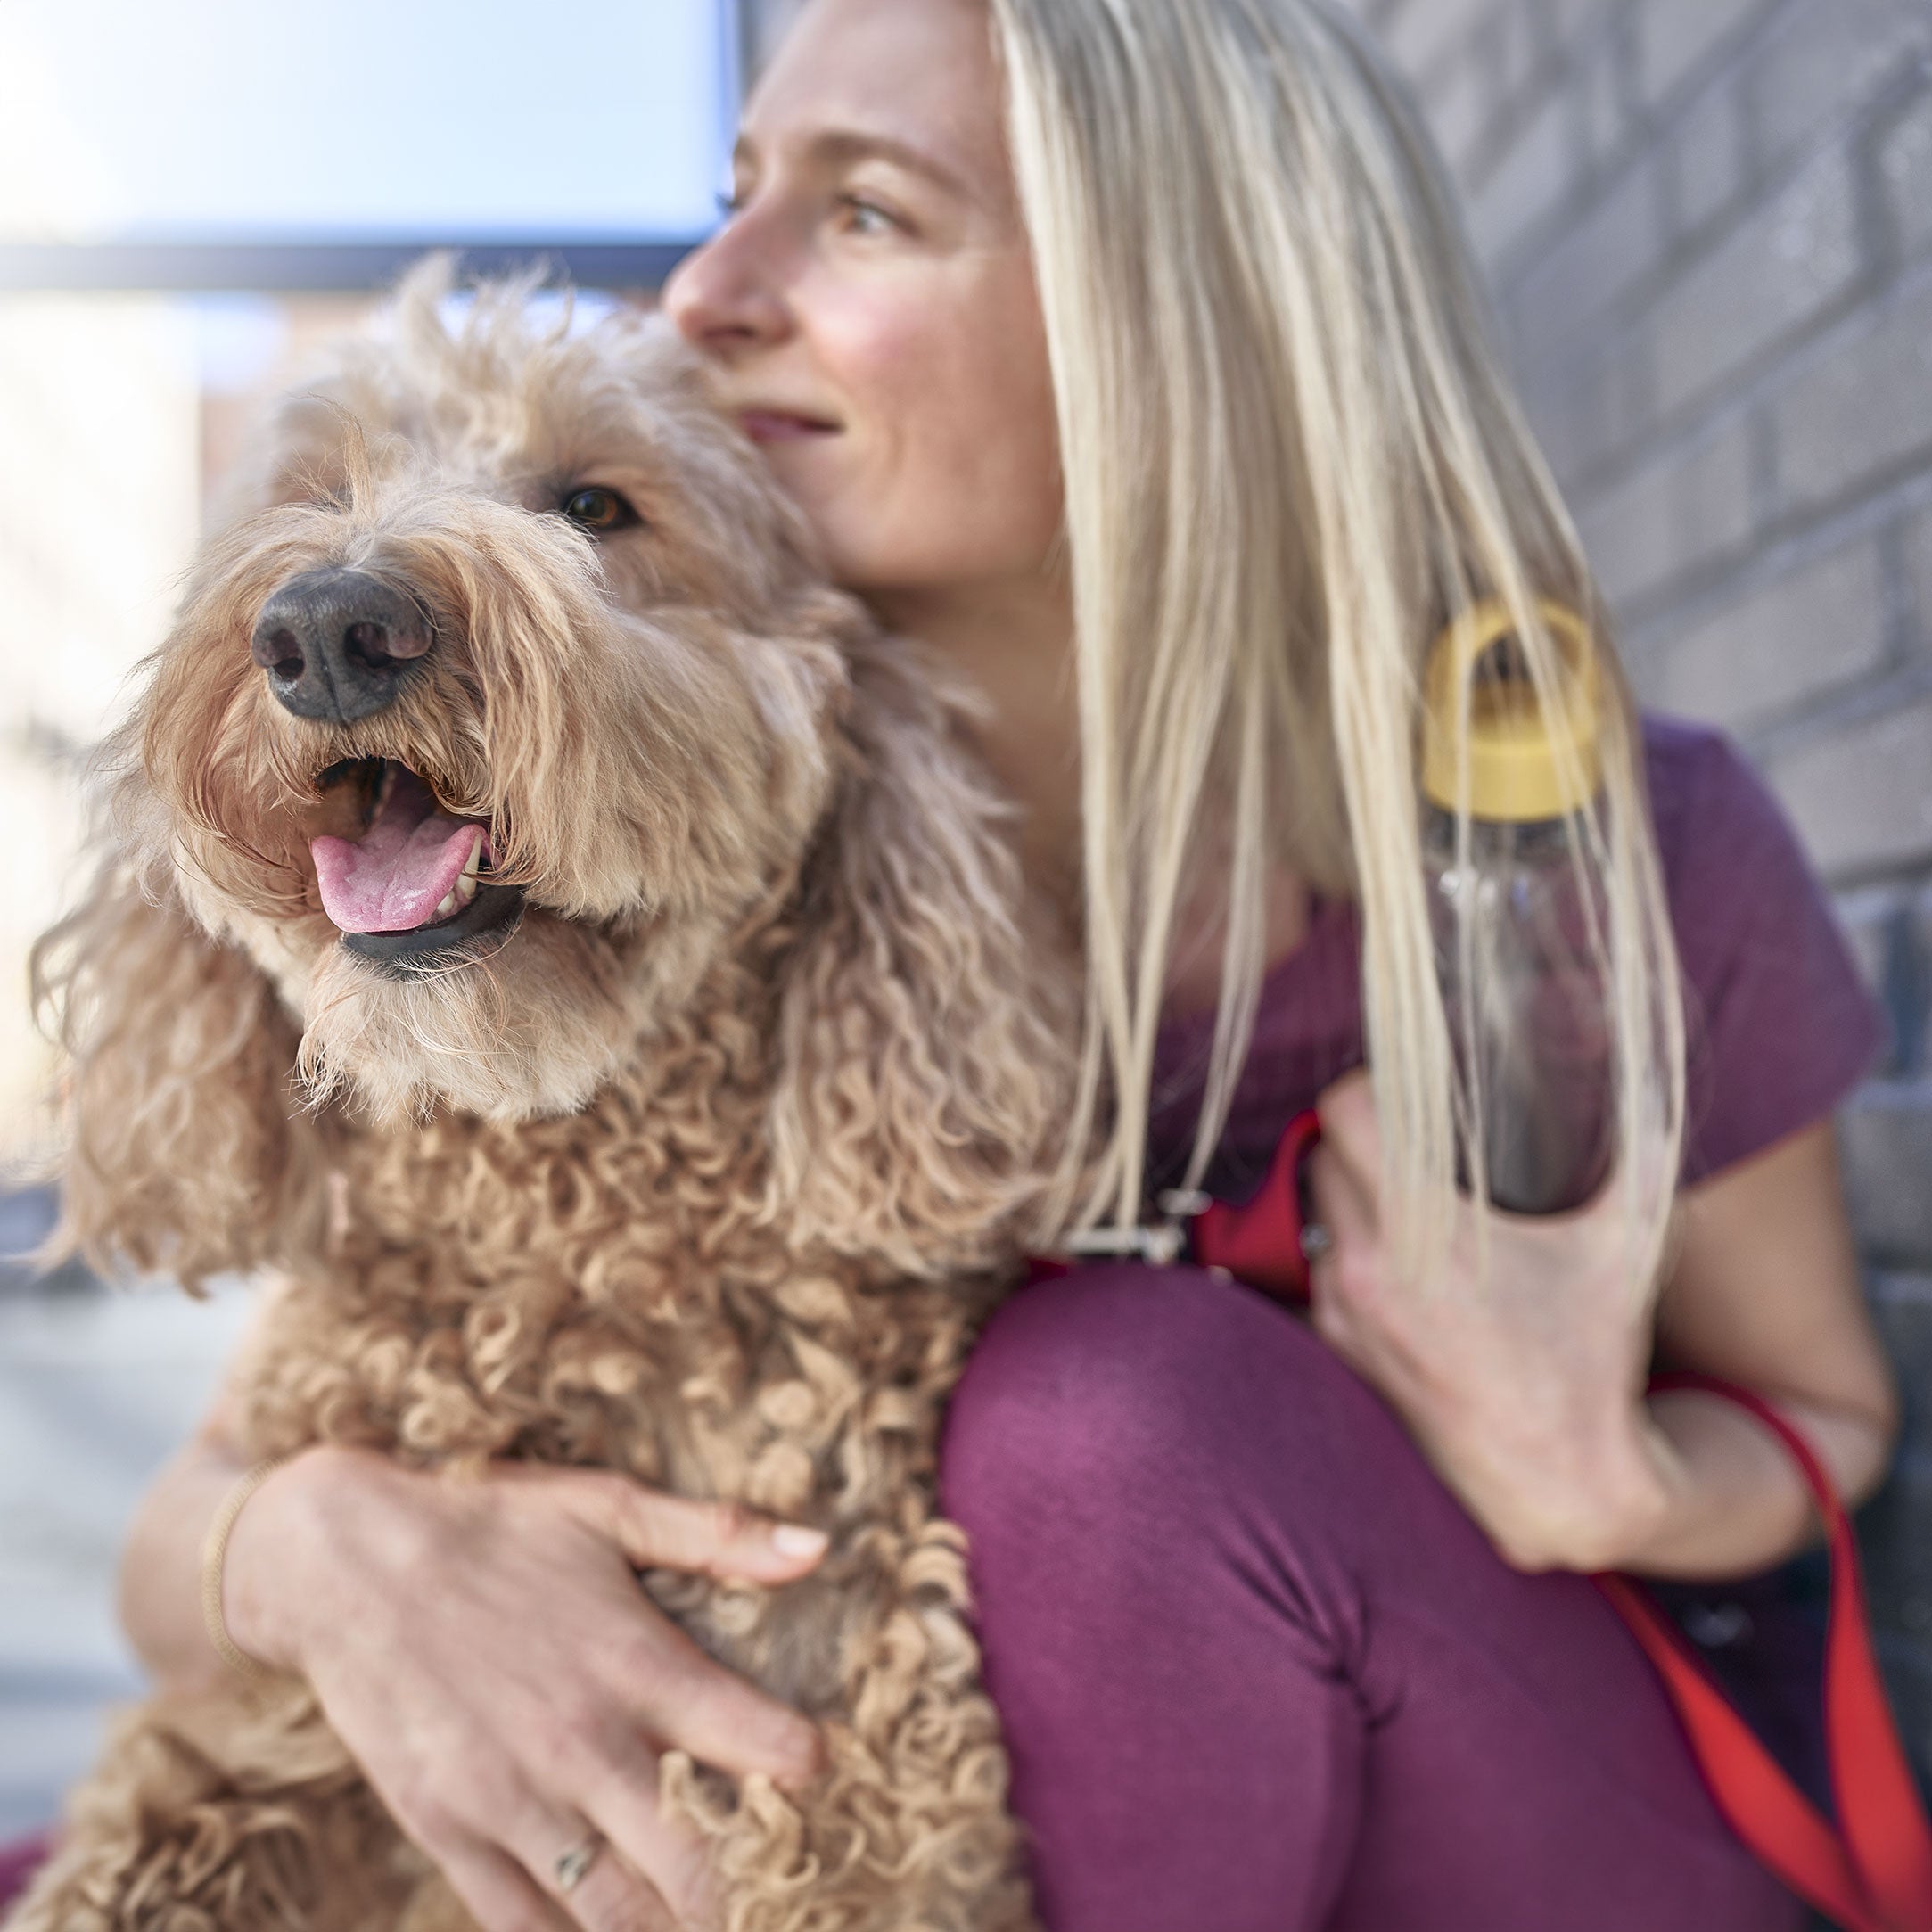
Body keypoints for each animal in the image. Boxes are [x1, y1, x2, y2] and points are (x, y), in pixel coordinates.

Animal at [11, 268, 1073, 1932]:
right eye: (315, 487)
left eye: (595, 505)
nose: (327, 624)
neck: (563, 1237)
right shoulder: (241, 1738)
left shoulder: (856, 1790)